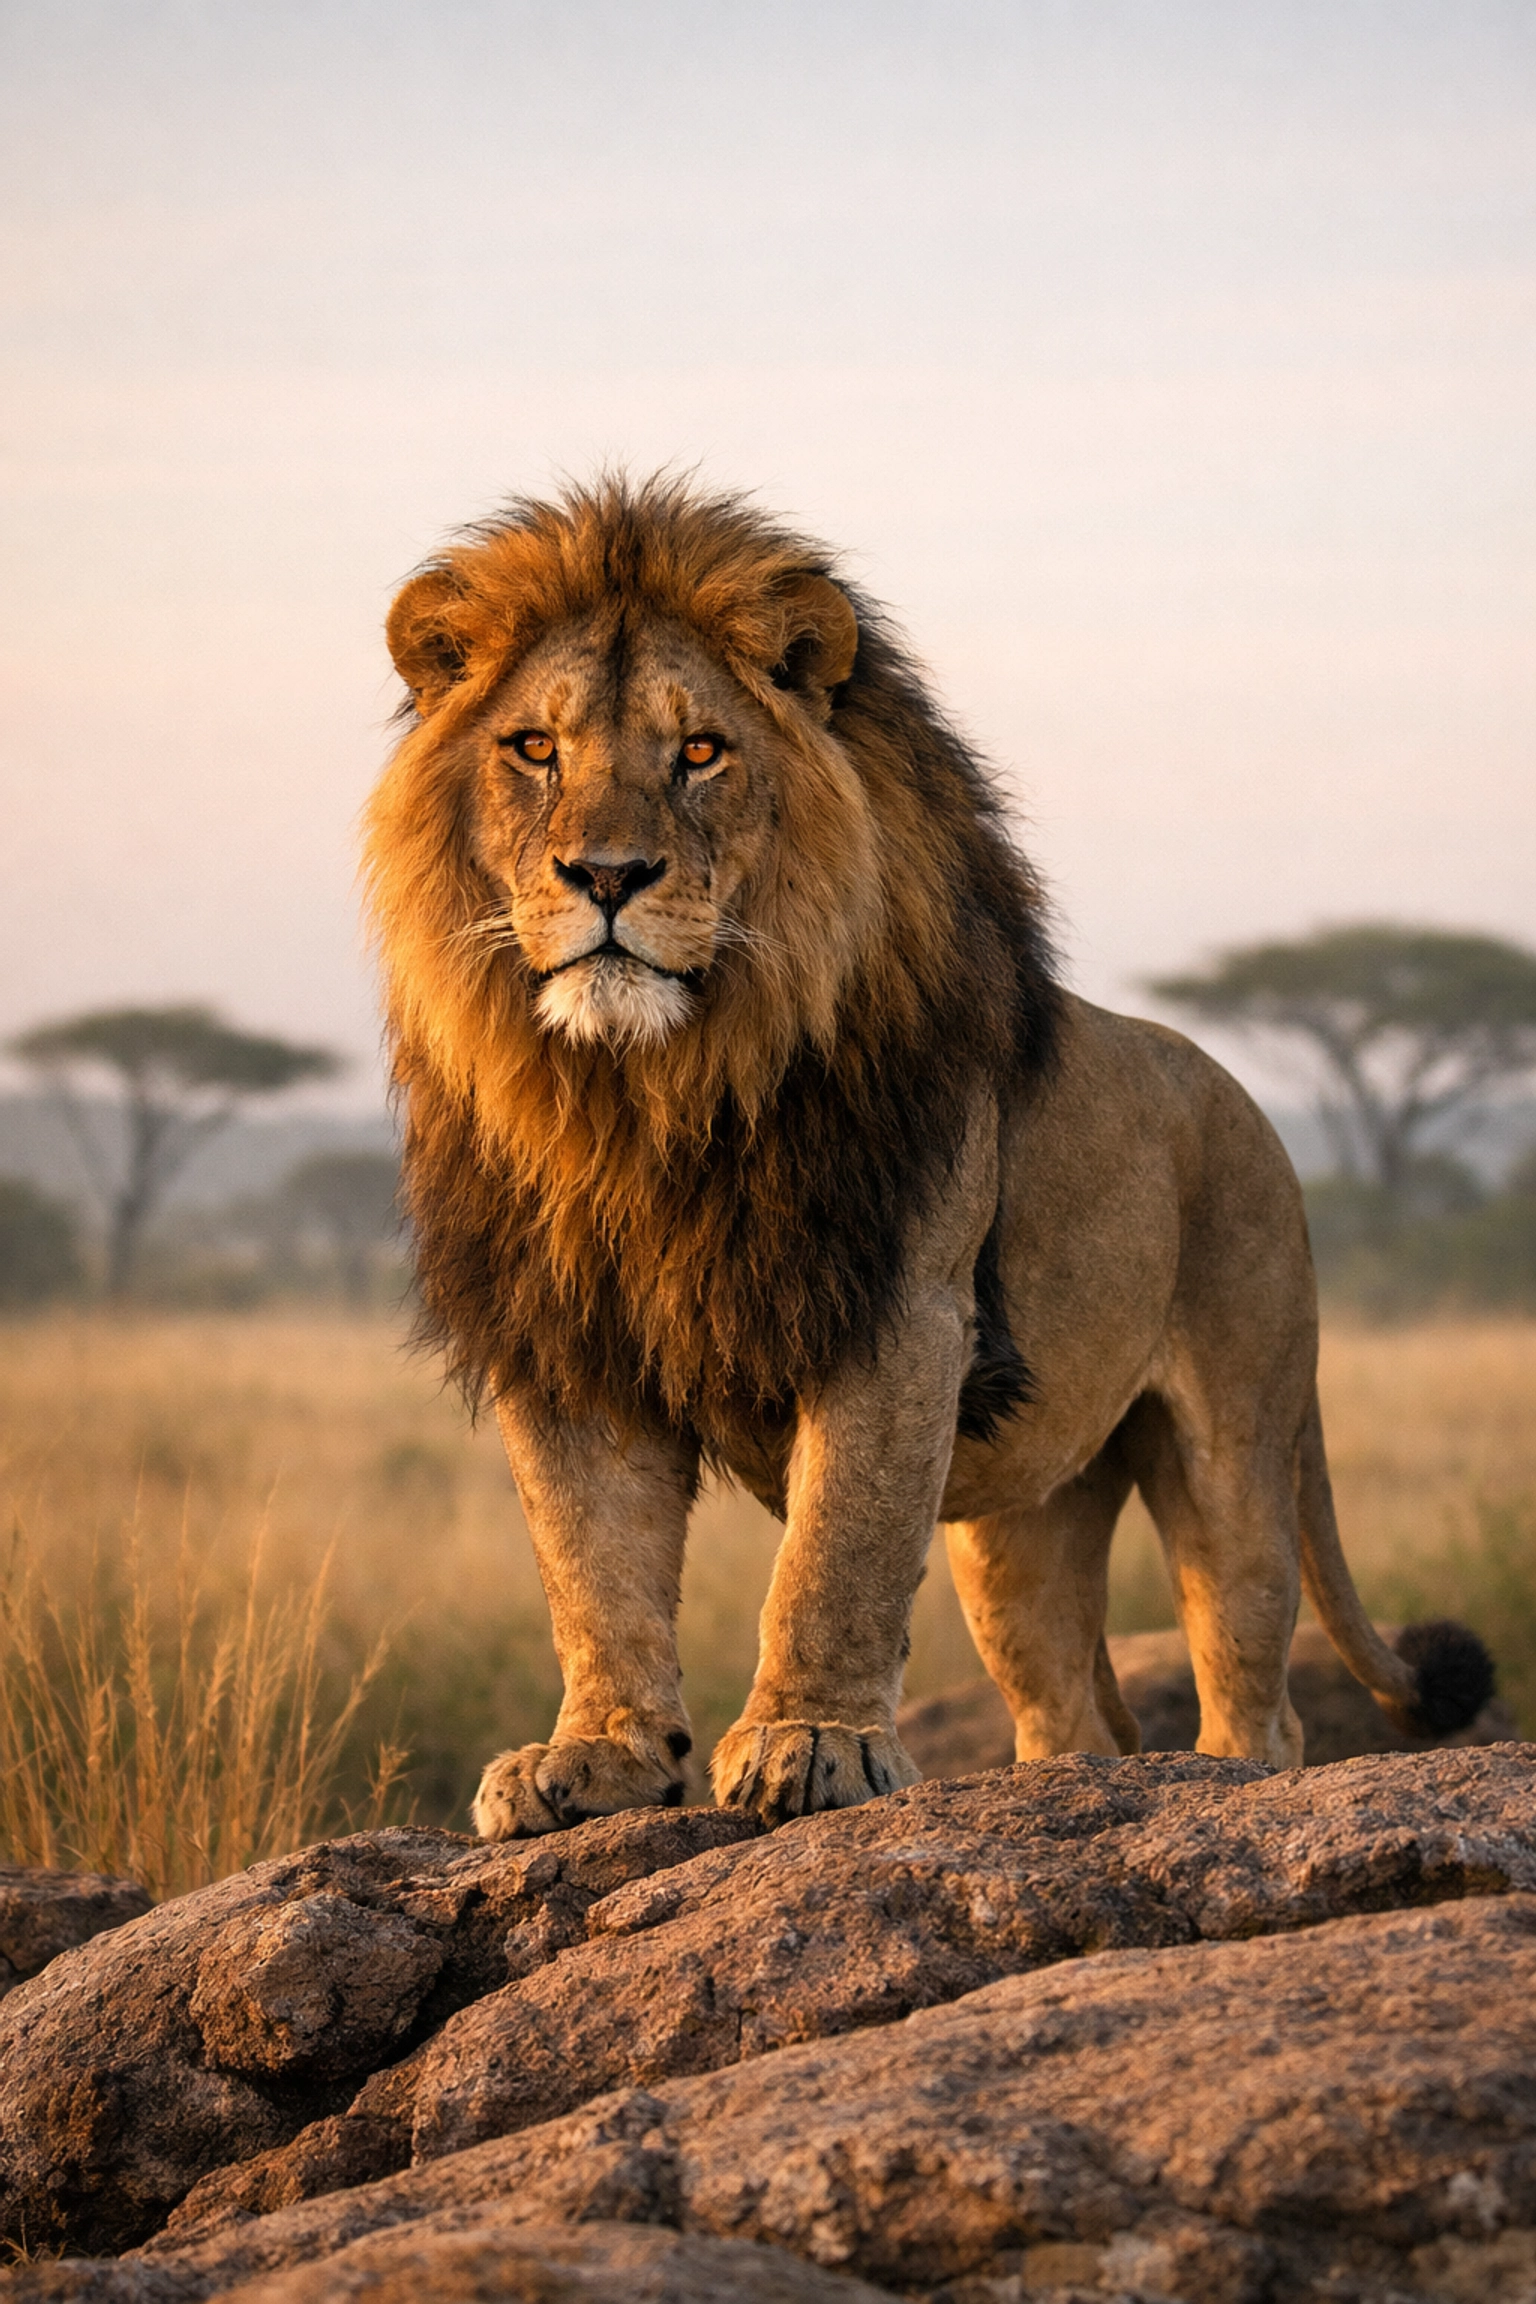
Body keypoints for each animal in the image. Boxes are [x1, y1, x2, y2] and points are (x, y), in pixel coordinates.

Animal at [364, 475, 1493, 1837]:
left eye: (702, 752)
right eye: (535, 749)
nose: (608, 875)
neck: (645, 1094)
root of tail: (1243, 1096)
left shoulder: (899, 1304)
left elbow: (835, 1548)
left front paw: (811, 1745)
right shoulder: (564, 1334)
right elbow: (592, 1564)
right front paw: (599, 1758)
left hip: (1235, 1442)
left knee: (1252, 1682)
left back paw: (1222, 1790)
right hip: (1022, 1519)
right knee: (1071, 1712)